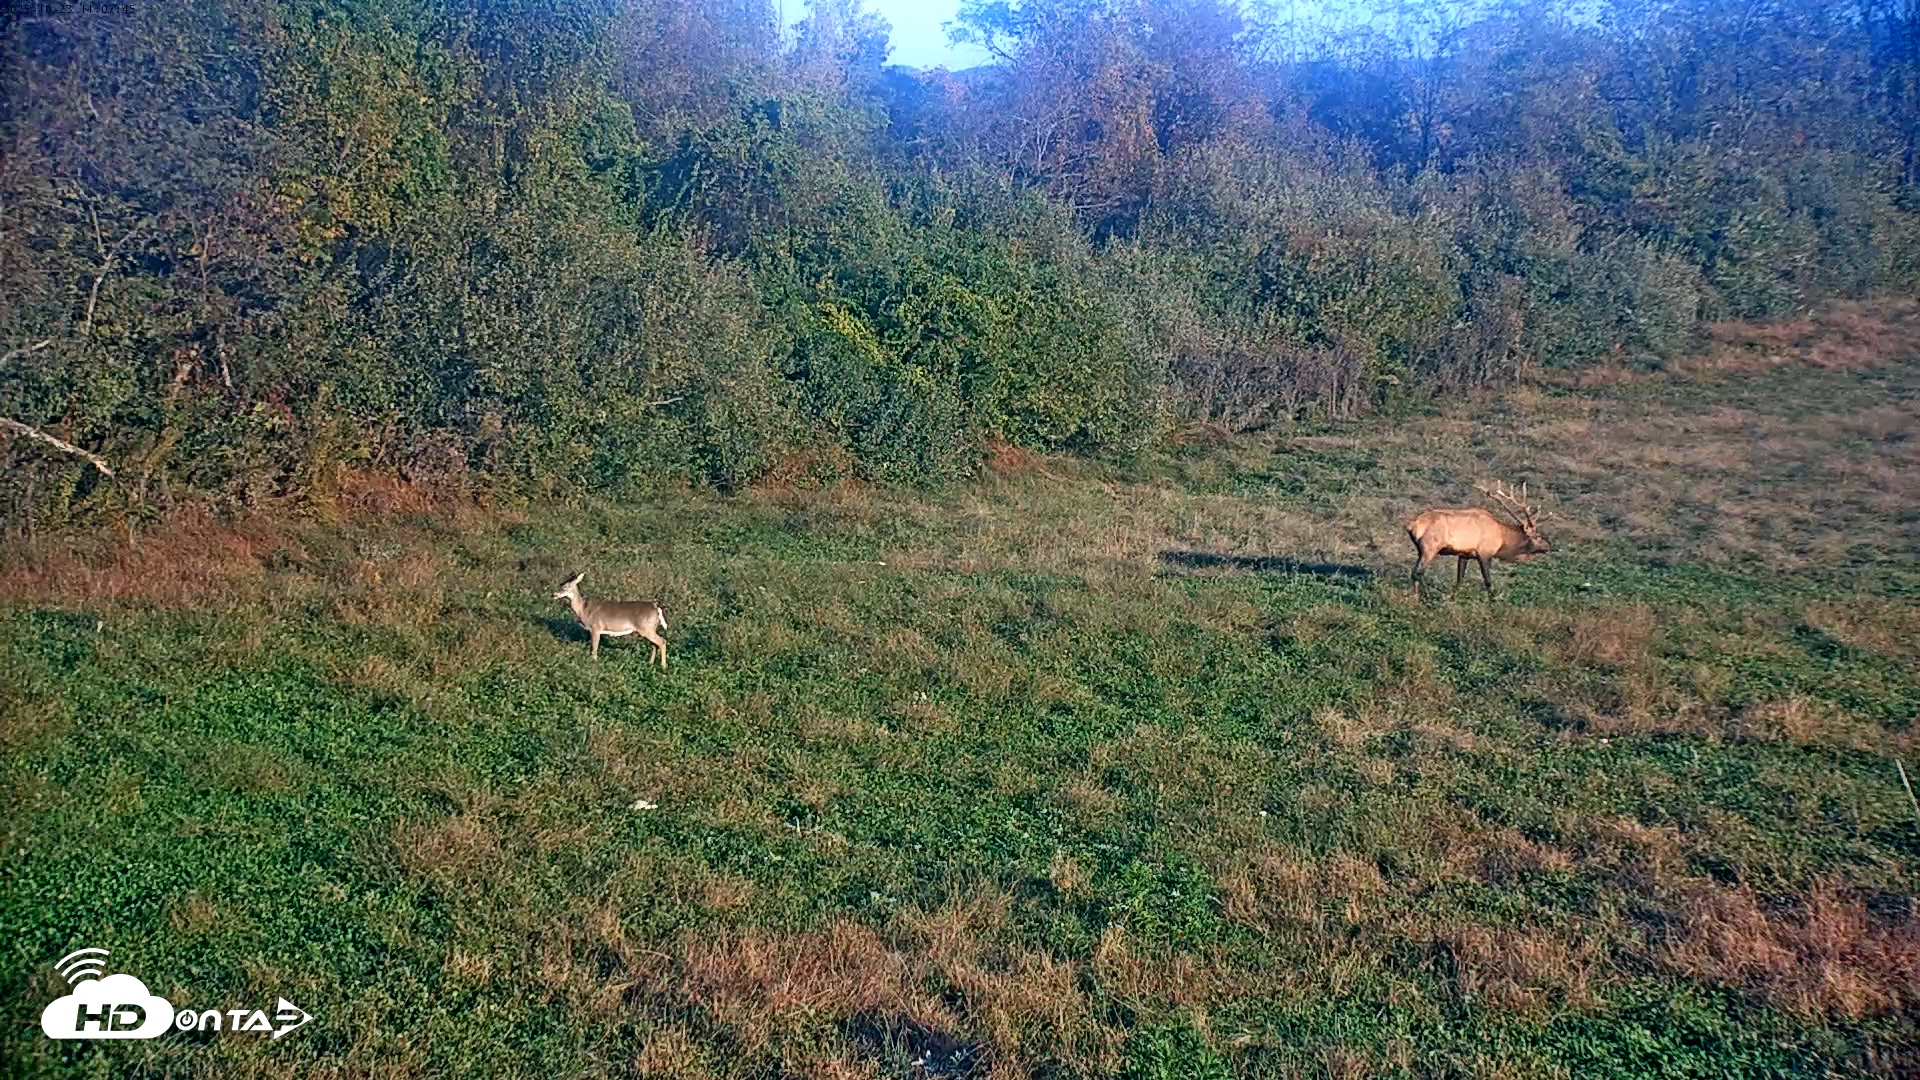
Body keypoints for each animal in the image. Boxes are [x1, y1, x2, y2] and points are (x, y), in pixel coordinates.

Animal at [1407, 482, 1551, 596]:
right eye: (1538, 537)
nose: (1549, 545)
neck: (1502, 538)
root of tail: (1413, 525)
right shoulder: (1485, 553)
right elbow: (1488, 581)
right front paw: (1492, 602)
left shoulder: (1464, 554)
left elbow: (1460, 579)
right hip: (1430, 547)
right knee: (1417, 572)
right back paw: (1427, 596)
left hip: (1420, 550)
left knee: (1415, 572)